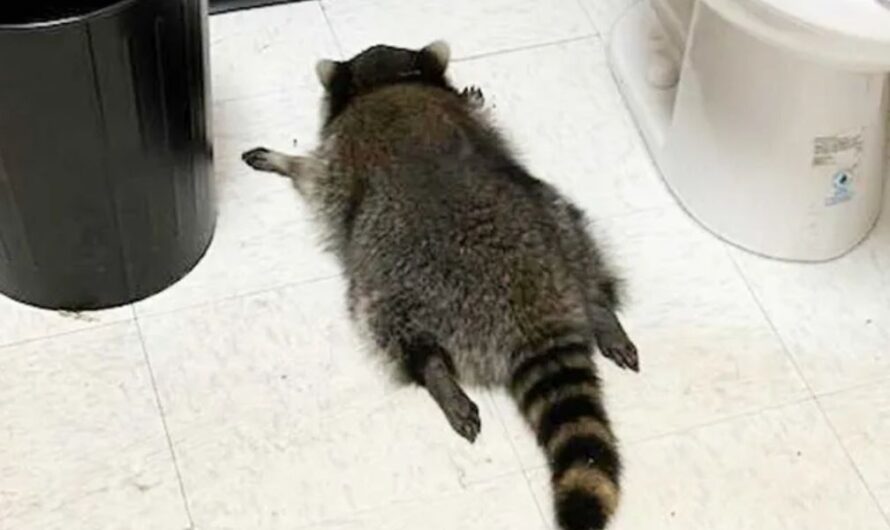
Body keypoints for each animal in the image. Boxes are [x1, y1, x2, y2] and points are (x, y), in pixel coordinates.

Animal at [242, 41, 638, 530]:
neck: (388, 83)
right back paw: (600, 309)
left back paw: (434, 371)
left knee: (388, 323)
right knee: (579, 240)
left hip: (399, 282)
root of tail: (533, 309)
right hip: (557, 222)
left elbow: (314, 176)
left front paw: (285, 161)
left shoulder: (338, 158)